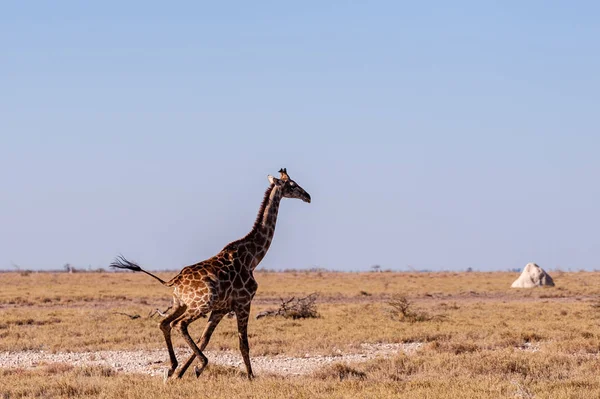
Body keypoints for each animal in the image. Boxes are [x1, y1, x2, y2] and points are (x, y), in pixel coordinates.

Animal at [109, 168, 312, 382]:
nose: (308, 196)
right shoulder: (243, 303)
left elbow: (204, 339)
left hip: (181, 304)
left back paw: (173, 367)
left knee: (164, 323)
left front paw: (185, 372)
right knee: (179, 324)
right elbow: (243, 343)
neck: (252, 258)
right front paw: (249, 377)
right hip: (201, 304)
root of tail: (175, 281)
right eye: (292, 184)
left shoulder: (221, 309)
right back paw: (199, 363)